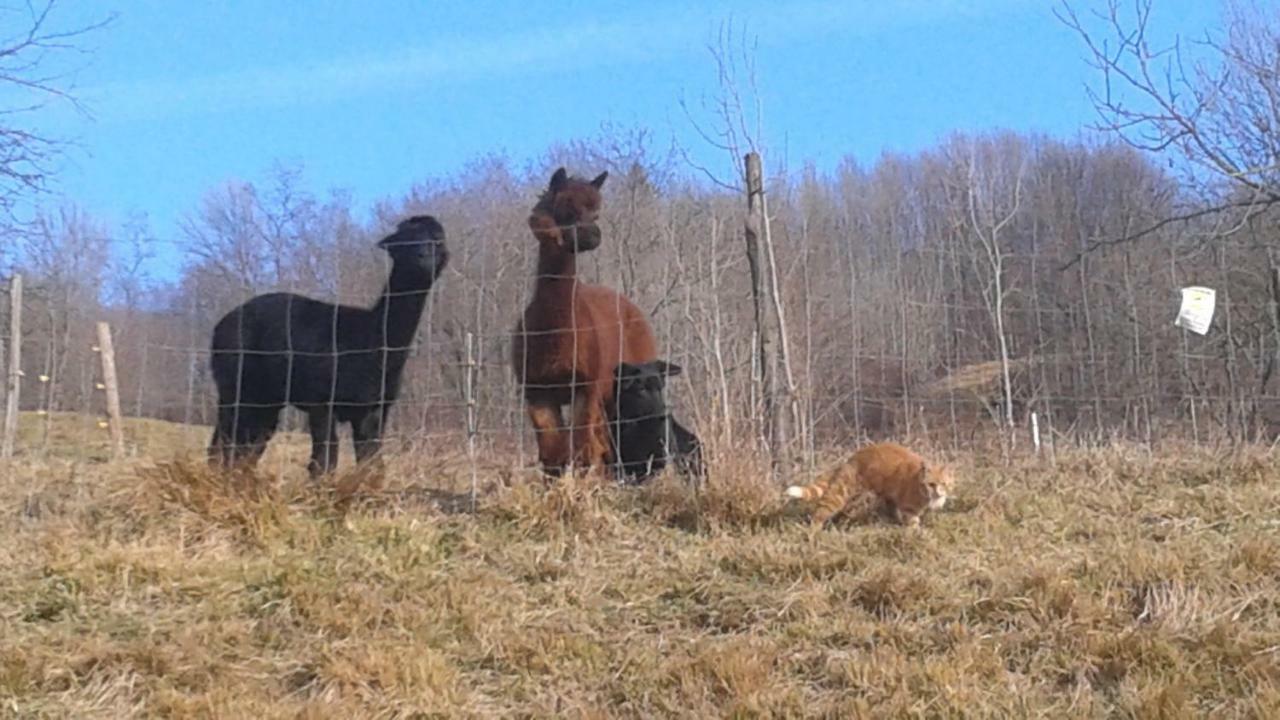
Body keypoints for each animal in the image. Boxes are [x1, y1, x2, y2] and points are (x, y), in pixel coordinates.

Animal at [783, 438, 957, 527]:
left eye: (944, 484)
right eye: (931, 484)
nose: (938, 492)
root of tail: (853, 457)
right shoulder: (909, 509)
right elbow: (913, 523)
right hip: (841, 494)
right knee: (820, 513)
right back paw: (814, 532)